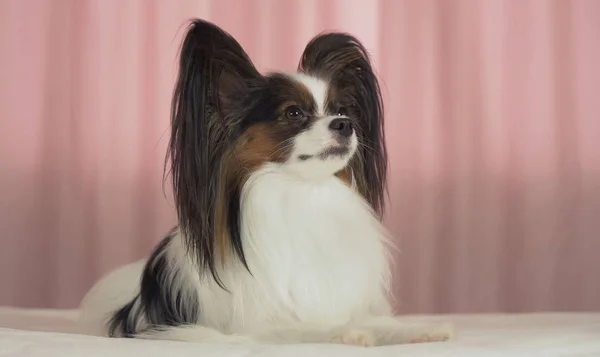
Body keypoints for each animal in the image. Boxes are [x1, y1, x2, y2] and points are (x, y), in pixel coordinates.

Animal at [79, 18, 454, 344]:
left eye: (341, 110)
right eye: (294, 113)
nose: (346, 124)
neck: (301, 192)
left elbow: (377, 321)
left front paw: (419, 330)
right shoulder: (259, 327)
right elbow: (314, 326)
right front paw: (348, 333)